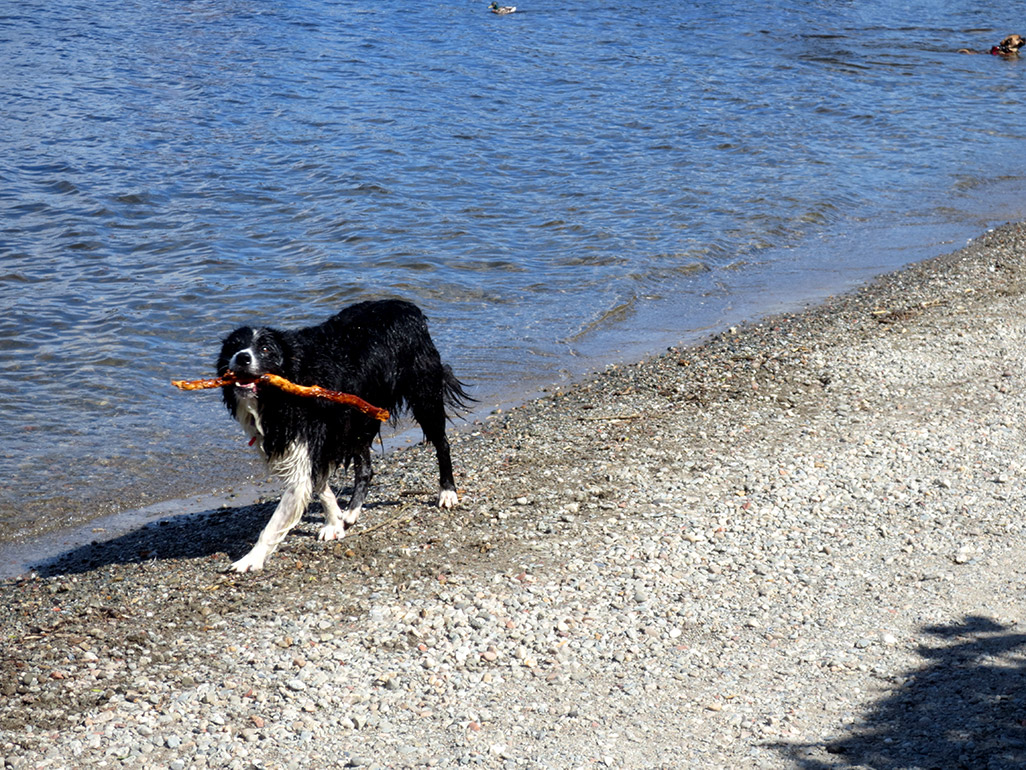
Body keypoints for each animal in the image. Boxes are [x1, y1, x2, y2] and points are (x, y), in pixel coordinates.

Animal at [220, 301, 469, 574]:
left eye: (265, 349)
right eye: (234, 346)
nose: (242, 357)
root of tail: (407, 306)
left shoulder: (310, 440)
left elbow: (276, 520)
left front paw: (249, 559)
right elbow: (321, 486)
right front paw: (334, 522)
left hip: (423, 393)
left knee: (442, 443)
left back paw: (447, 492)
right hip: (360, 417)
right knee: (366, 469)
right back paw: (352, 511)